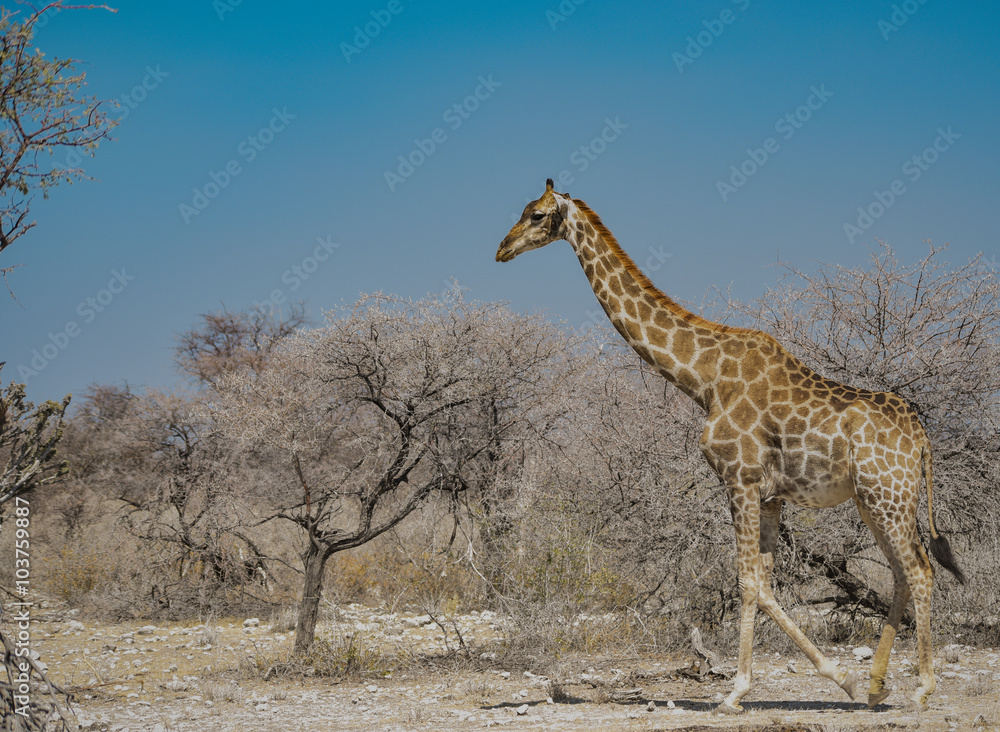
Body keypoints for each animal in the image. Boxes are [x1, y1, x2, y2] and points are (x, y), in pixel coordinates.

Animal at [495, 179, 966, 714]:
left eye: (535, 214)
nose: (502, 249)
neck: (705, 379)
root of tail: (922, 436)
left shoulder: (739, 479)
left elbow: (746, 583)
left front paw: (734, 692)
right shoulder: (771, 495)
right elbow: (764, 585)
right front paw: (840, 679)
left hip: (889, 496)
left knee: (920, 570)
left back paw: (922, 688)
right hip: (876, 500)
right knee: (904, 572)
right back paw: (874, 686)